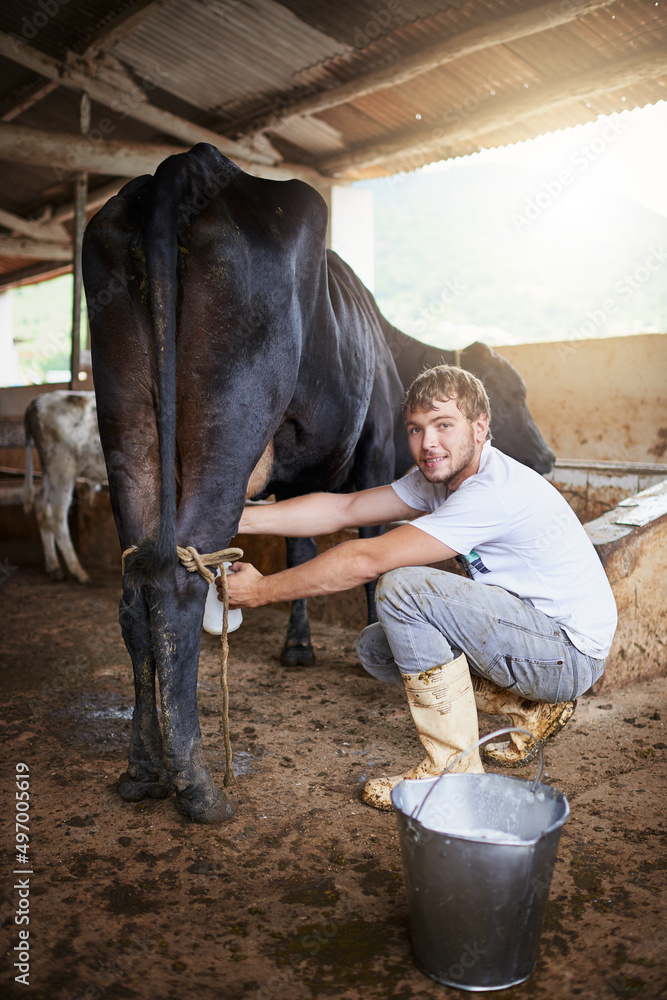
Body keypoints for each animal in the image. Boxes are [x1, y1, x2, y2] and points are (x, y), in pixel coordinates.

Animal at [22, 388, 106, 584]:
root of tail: (37, 401)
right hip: (63, 469)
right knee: (57, 515)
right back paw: (78, 571)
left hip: (50, 471)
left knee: (41, 506)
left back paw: (54, 568)